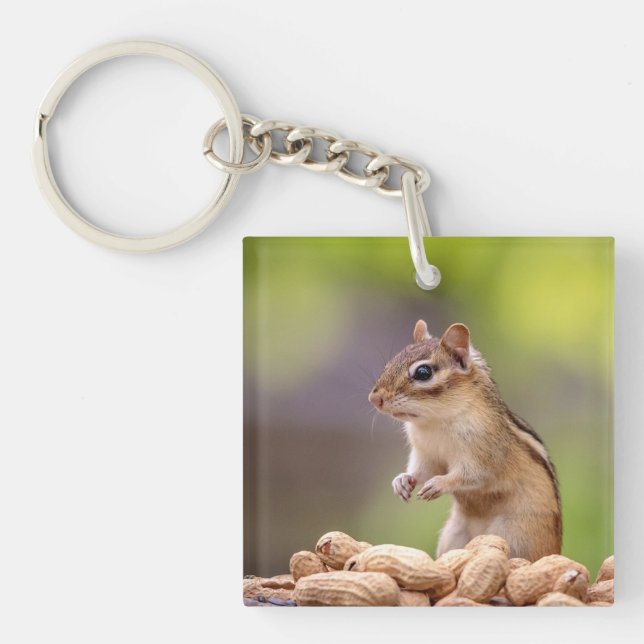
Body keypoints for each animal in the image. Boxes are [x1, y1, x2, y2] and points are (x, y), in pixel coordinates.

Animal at [368, 320, 562, 561]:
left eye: (423, 372)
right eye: (389, 364)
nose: (374, 398)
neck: (435, 422)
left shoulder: (483, 453)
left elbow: (472, 475)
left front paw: (439, 484)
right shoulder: (426, 454)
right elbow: (423, 471)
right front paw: (402, 480)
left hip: (515, 536)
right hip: (453, 536)